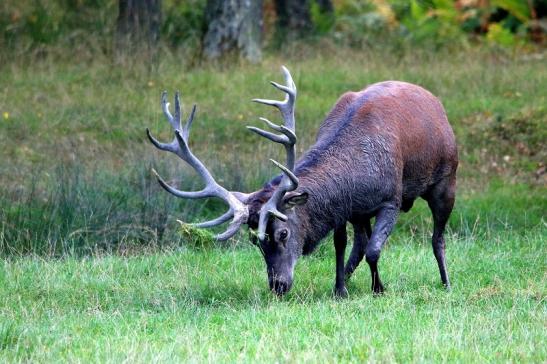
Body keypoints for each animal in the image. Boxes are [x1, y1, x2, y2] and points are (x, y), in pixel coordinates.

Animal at [146, 67, 458, 298]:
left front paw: (378, 289)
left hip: (446, 180)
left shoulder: (390, 200)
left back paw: (446, 282)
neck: (355, 180)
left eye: (283, 233)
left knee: (437, 237)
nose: (278, 286)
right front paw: (340, 289)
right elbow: (342, 245)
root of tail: (435, 101)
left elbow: (374, 250)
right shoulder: (346, 208)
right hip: (363, 214)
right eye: (256, 241)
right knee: (360, 242)